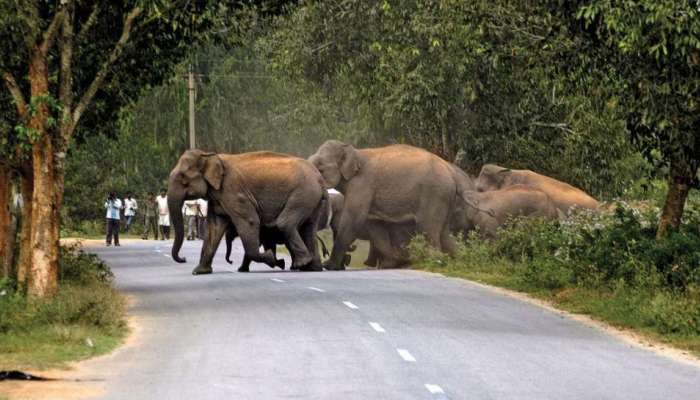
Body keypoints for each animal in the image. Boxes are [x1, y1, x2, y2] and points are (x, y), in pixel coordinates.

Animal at [167, 150, 326, 276]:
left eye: (183, 179)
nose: (183, 259)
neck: (209, 156)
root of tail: (319, 178)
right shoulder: (218, 196)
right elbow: (214, 228)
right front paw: (199, 272)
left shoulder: (234, 192)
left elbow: (250, 221)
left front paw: (272, 258)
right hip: (312, 198)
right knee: (308, 228)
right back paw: (312, 268)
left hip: (304, 193)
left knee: (285, 223)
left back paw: (301, 264)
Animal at [308, 140, 456, 268]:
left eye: (320, 167)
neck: (355, 153)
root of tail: (451, 174)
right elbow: (374, 224)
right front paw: (391, 263)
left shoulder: (362, 184)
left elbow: (353, 219)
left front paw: (328, 266)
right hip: (443, 198)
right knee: (444, 232)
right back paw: (453, 261)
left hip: (434, 194)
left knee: (428, 228)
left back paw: (434, 262)